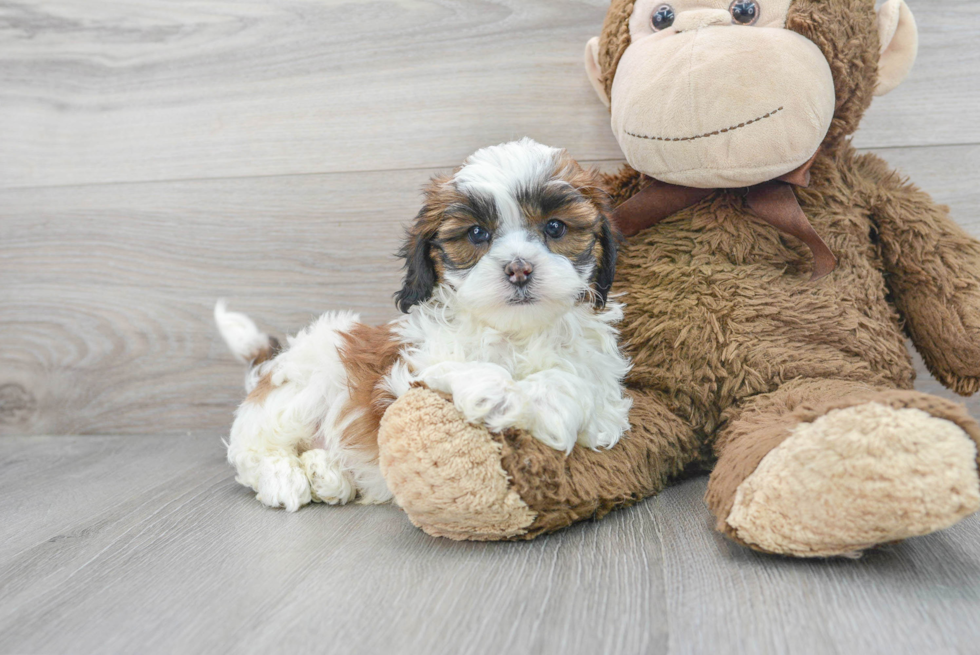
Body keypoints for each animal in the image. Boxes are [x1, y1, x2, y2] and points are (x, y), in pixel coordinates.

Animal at [214, 138, 632, 510]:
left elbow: (574, 388)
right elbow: (456, 369)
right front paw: (498, 393)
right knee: (254, 448)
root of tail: (270, 365)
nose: (518, 268)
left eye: (555, 228)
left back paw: (329, 474)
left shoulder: (604, 398)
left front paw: (536, 400)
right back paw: (285, 477)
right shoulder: (407, 374)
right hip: (303, 384)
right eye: (477, 233)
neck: (515, 332)